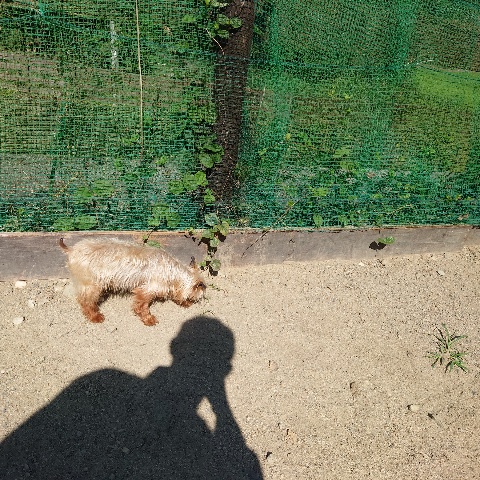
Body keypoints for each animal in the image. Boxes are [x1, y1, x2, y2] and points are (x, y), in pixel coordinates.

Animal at [59, 237, 206, 326]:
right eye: (192, 298)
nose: (189, 304)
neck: (172, 271)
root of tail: (71, 249)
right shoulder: (147, 289)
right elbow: (142, 306)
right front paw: (148, 319)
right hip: (92, 285)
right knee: (86, 302)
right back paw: (94, 316)